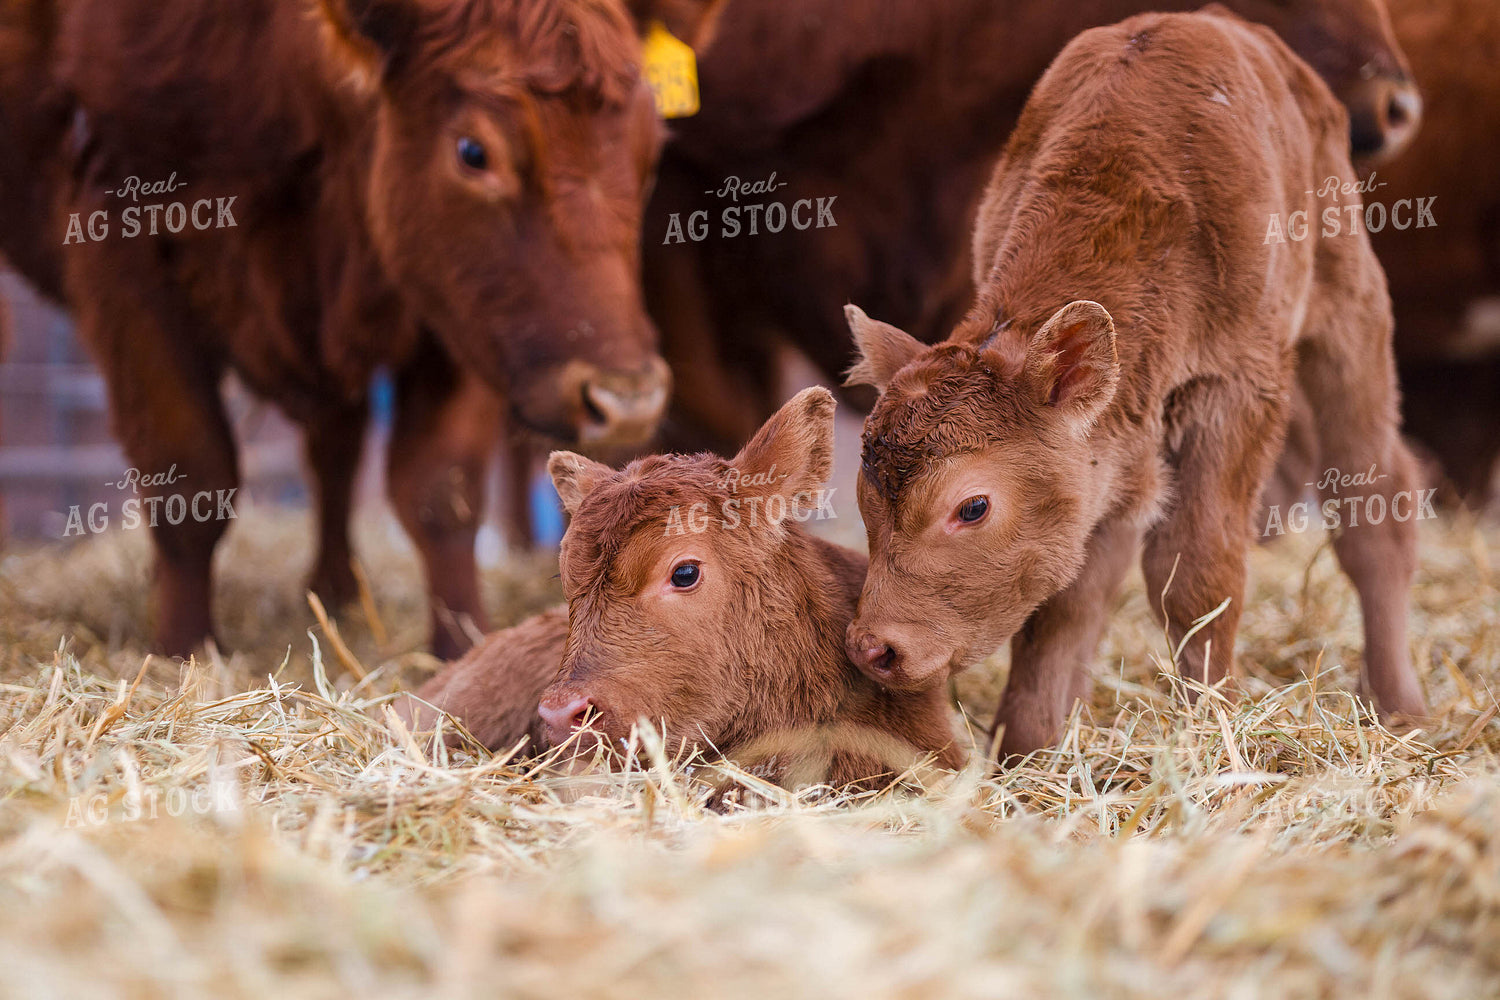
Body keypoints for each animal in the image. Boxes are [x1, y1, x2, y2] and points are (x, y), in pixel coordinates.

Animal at [0, 0, 721, 657]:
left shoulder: (452, 311)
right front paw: (185, 651)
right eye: (473, 152)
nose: (627, 398)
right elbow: (188, 478)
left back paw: (337, 591)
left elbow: (441, 490)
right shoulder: (124, 251)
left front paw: (462, 646)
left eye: (651, 149)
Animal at [841, 10, 1429, 759]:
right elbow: (1067, 600)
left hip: (1349, 309)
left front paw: (1213, 727)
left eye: (972, 507)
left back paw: (1401, 706)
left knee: (1375, 503)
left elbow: (1197, 574)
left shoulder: (1236, 390)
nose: (873, 649)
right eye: (865, 494)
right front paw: (1027, 748)